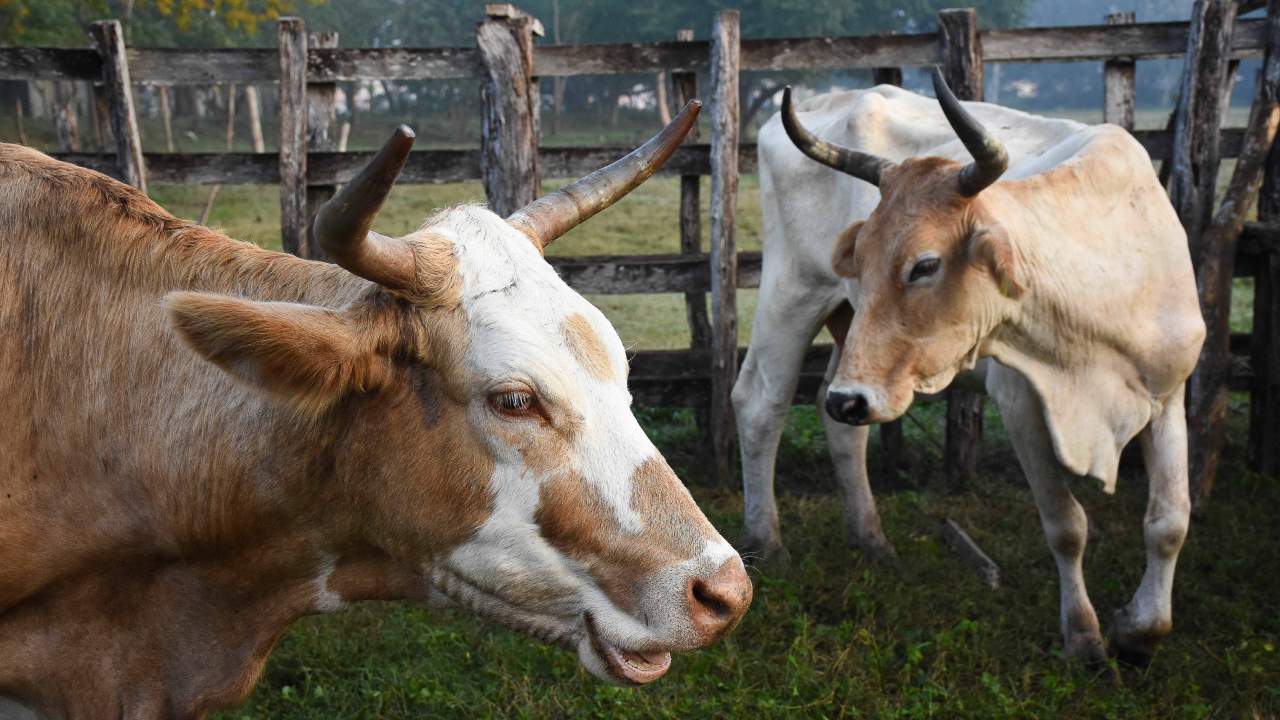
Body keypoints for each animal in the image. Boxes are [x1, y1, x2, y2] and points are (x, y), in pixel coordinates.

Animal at [737, 73, 1203, 661]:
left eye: (925, 265)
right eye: (861, 259)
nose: (853, 398)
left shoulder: (1169, 394)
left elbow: (1169, 521)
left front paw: (1140, 629)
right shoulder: (1022, 403)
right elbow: (1065, 523)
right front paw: (1083, 636)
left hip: (852, 342)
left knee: (837, 419)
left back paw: (872, 539)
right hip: (792, 293)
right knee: (761, 405)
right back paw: (768, 543)